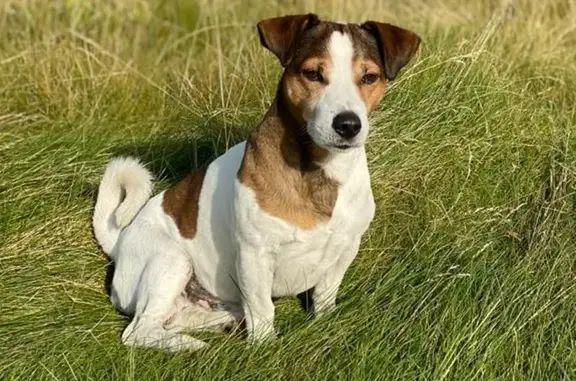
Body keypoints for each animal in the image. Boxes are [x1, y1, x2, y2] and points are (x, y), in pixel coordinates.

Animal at [92, 12, 420, 350]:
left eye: (369, 77)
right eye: (312, 73)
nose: (348, 125)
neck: (322, 170)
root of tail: (119, 244)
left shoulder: (345, 248)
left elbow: (325, 294)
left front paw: (325, 325)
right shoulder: (255, 255)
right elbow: (263, 308)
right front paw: (265, 346)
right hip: (171, 260)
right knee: (138, 331)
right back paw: (193, 346)